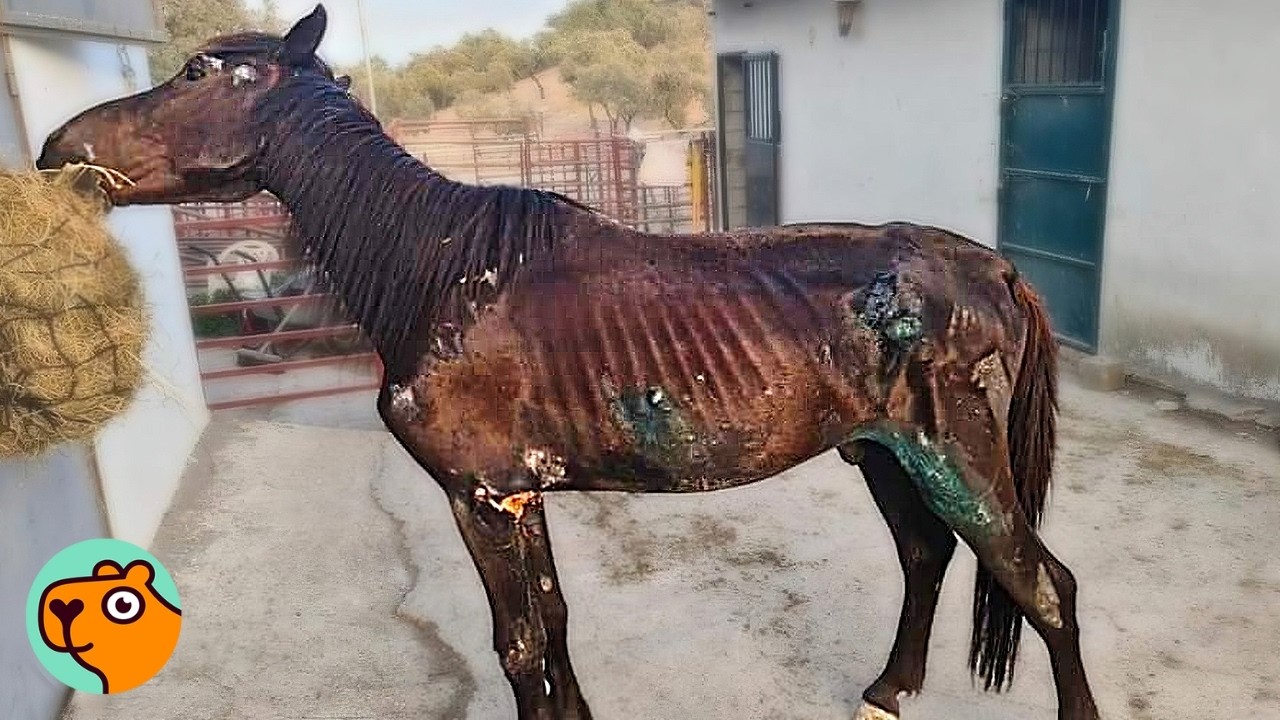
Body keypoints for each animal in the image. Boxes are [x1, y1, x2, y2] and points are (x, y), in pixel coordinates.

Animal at [36, 6, 1099, 719]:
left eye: (199, 71)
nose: (55, 148)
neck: (441, 272)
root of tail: (993, 267)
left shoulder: (480, 499)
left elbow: (516, 647)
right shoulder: (520, 496)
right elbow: (551, 630)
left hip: (960, 457)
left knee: (1044, 586)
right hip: (885, 452)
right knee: (926, 557)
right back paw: (888, 688)